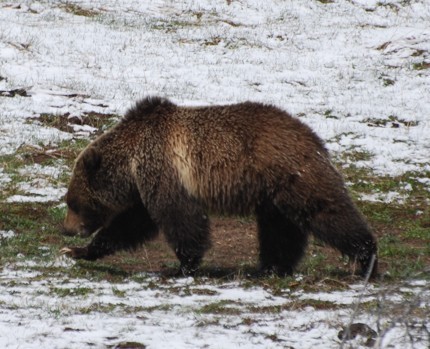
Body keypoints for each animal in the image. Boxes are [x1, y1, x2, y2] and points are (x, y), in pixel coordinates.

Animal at [60, 97, 376, 278]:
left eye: (72, 202)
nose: (67, 229)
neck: (132, 162)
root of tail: (313, 137)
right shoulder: (147, 186)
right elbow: (131, 224)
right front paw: (79, 251)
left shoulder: (166, 172)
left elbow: (180, 220)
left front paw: (183, 266)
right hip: (272, 195)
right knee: (280, 230)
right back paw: (271, 267)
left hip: (292, 175)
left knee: (326, 211)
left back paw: (366, 259)